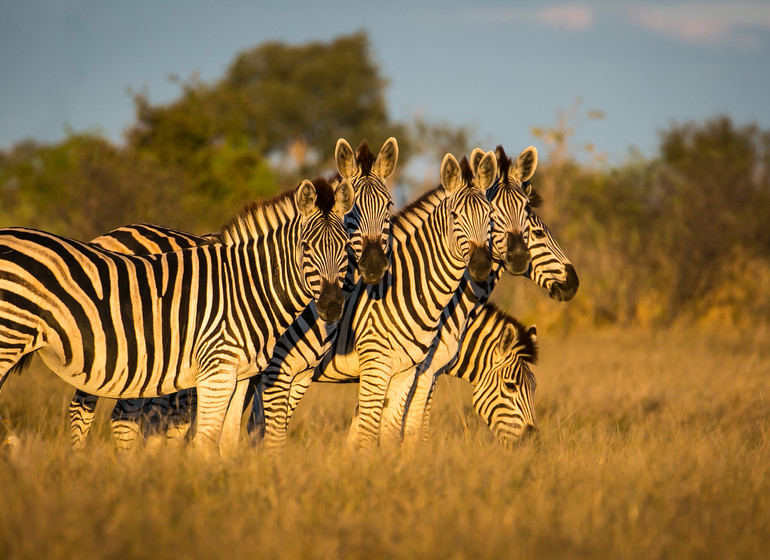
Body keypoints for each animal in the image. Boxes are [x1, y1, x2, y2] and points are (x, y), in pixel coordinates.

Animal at [0, 177, 354, 452]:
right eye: (306, 247)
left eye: (346, 248)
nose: (332, 306)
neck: (247, 286)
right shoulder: (216, 370)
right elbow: (206, 442)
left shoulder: (240, 375)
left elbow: (227, 441)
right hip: (10, 339)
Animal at [67, 139, 396, 450]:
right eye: (352, 215)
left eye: (389, 207)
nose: (374, 266)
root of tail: (108, 235)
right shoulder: (273, 369)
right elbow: (260, 426)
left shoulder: (293, 373)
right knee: (87, 408)